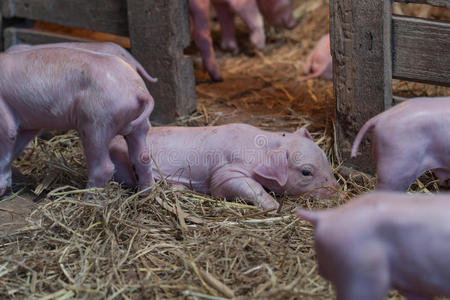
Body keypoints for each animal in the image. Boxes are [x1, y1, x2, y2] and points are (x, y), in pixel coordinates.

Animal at [0, 47, 156, 197]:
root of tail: (138, 91)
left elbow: (8, 138)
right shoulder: (28, 125)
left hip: (96, 123)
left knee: (104, 167)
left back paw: (87, 197)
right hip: (138, 126)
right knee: (143, 157)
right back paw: (145, 193)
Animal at [108, 123, 338, 210]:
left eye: (325, 158)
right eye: (306, 172)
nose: (338, 192)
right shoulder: (225, 172)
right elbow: (237, 186)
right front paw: (273, 205)